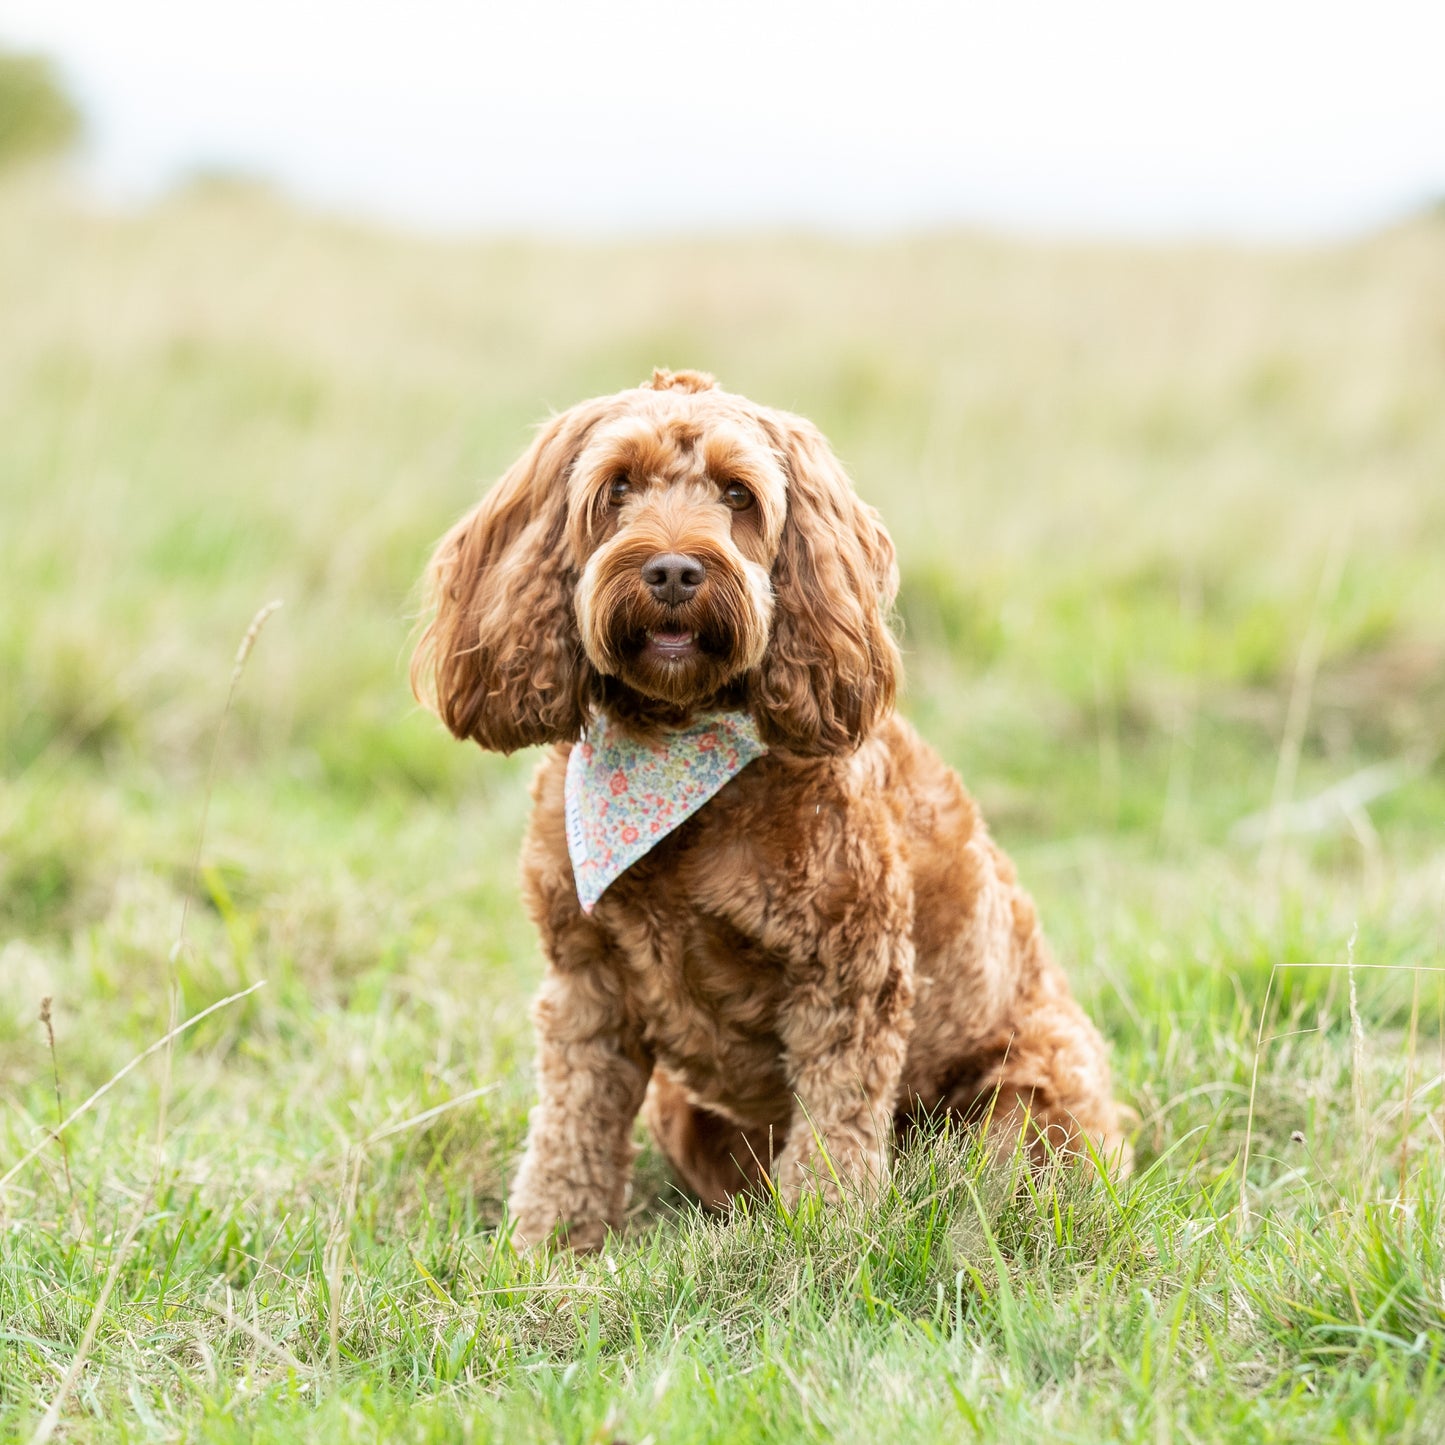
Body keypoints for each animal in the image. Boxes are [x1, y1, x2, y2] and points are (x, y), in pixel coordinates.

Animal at [410, 367, 1127, 1248]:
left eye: (737, 493)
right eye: (617, 486)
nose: (674, 571)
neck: (671, 744)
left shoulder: (849, 978)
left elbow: (834, 1135)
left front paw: (824, 1234)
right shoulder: (586, 985)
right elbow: (570, 1130)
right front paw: (551, 1245)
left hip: (1028, 1097)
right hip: (683, 1110)